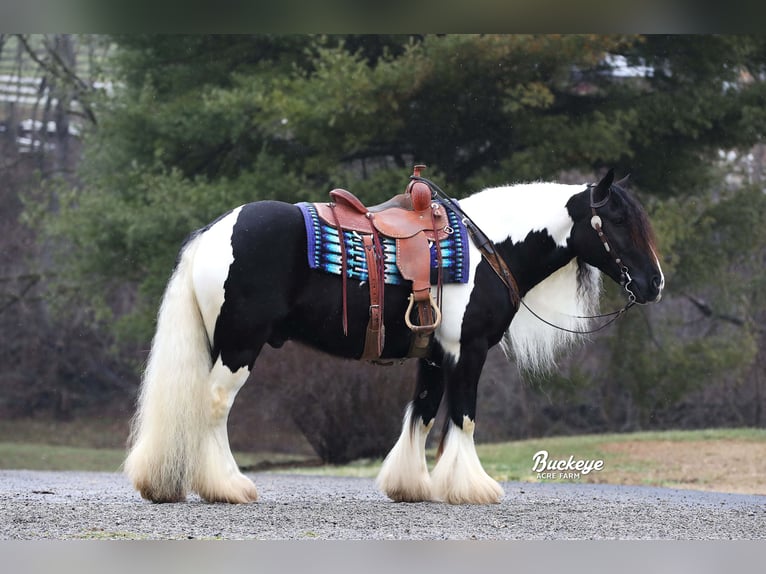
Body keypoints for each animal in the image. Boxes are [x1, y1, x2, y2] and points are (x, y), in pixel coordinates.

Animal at [126, 169, 664, 506]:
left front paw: (412, 486)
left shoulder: (434, 355)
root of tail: (212, 234)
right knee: (215, 406)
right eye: (618, 220)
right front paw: (473, 488)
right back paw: (228, 486)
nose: (655, 283)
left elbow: (423, 415)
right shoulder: (468, 352)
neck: (487, 248)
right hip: (240, 347)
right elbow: (463, 417)